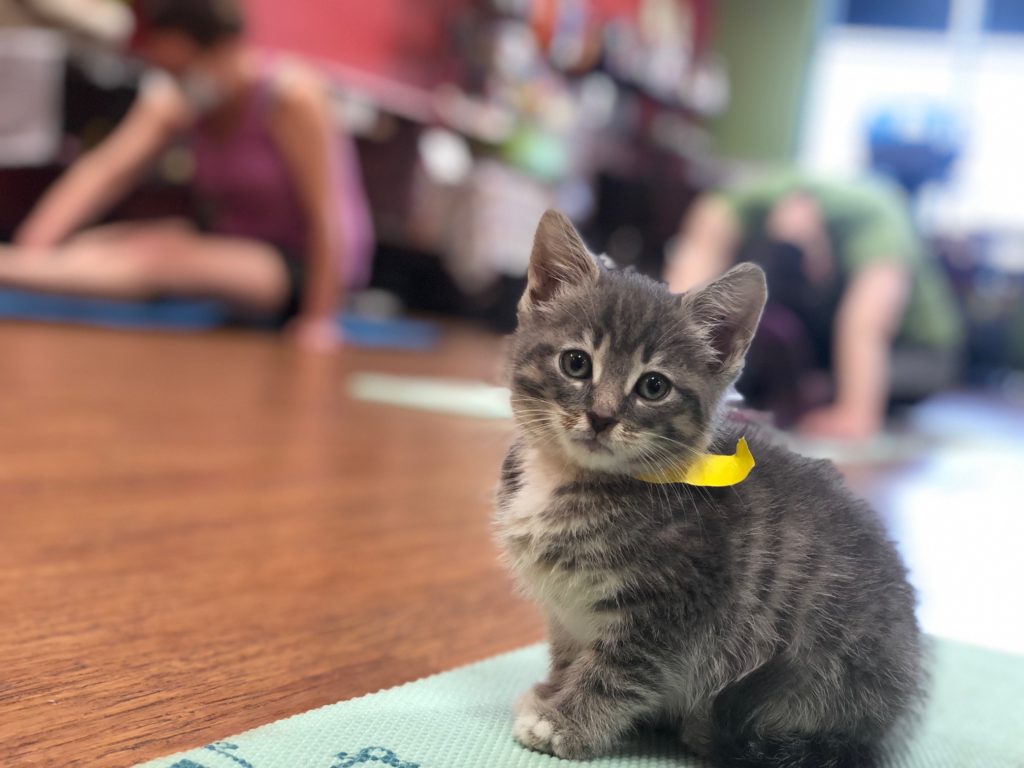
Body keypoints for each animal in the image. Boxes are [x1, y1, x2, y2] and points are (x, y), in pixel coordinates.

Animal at [491, 211, 925, 768]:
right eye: (576, 363)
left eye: (653, 386)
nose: (602, 416)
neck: (570, 478)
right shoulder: (563, 611)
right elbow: (568, 652)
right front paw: (552, 691)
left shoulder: (677, 614)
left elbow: (618, 674)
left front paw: (566, 722)